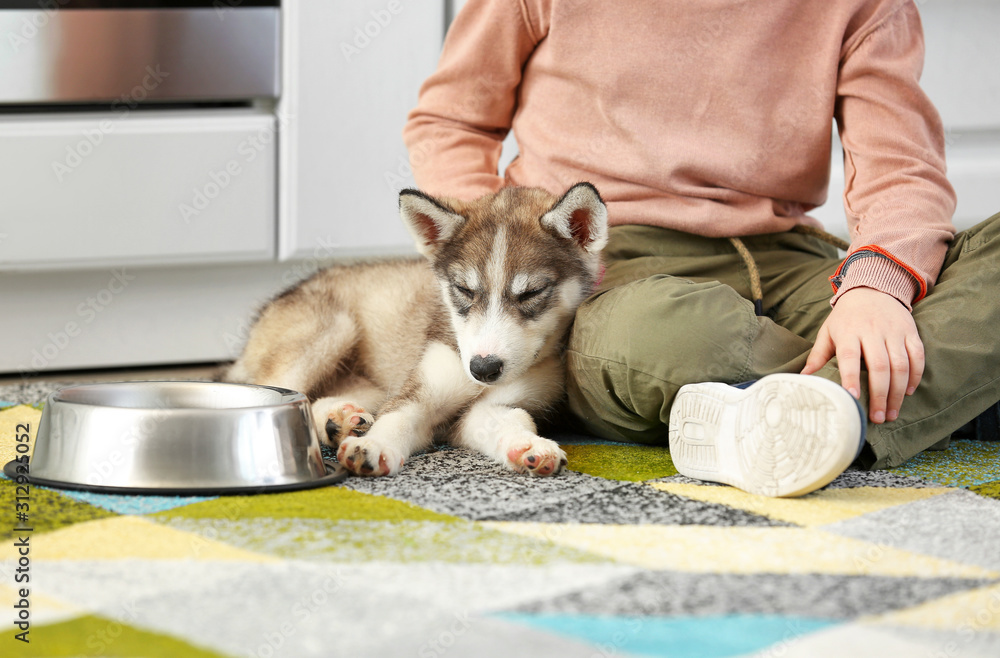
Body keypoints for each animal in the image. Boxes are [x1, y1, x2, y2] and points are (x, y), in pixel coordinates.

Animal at [227, 182, 608, 474]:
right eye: (464, 290)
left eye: (531, 293)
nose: (483, 369)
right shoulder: (421, 390)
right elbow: (398, 418)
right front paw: (374, 447)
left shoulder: (494, 407)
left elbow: (509, 419)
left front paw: (529, 447)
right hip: (331, 328)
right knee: (284, 392)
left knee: (312, 399)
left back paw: (339, 420)